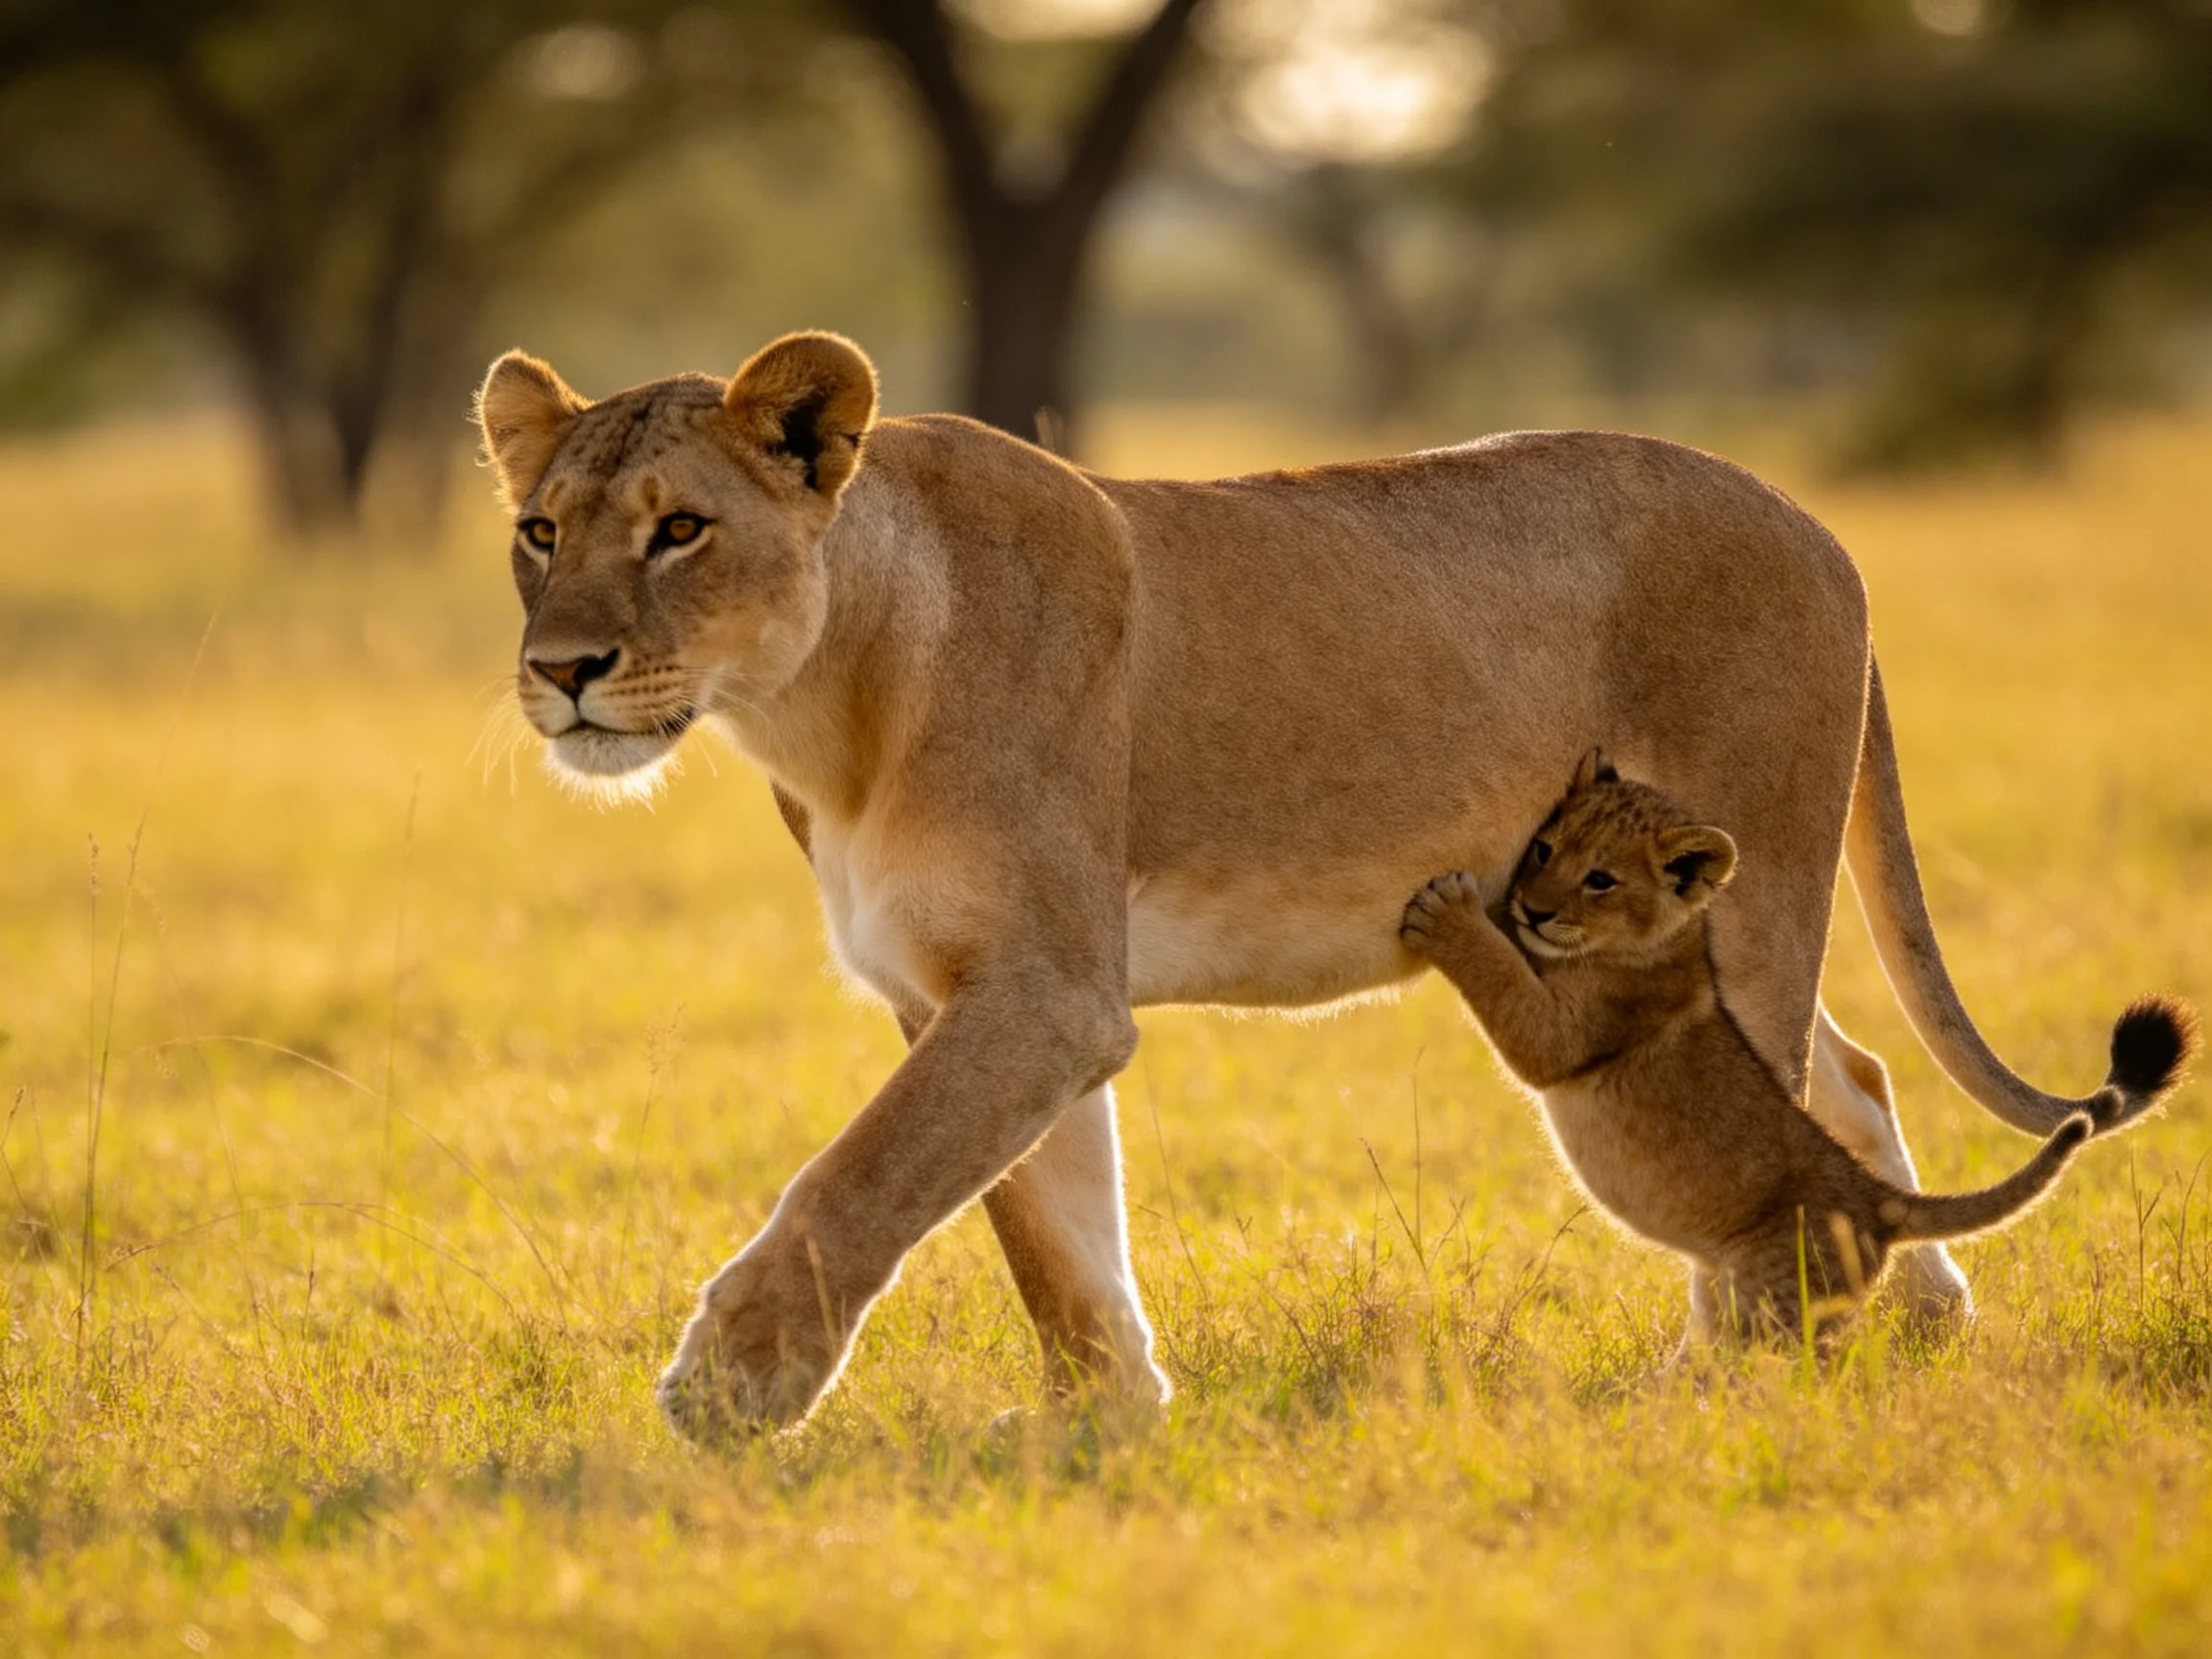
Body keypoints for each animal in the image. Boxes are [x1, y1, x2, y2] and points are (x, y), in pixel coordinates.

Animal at [1400, 750, 2193, 1347]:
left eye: (1601, 879)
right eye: (1543, 848)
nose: (1532, 907)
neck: (1666, 938)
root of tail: (1878, 1201)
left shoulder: (1575, 1030)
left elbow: (1506, 987)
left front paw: (1450, 915)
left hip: (1770, 1294)